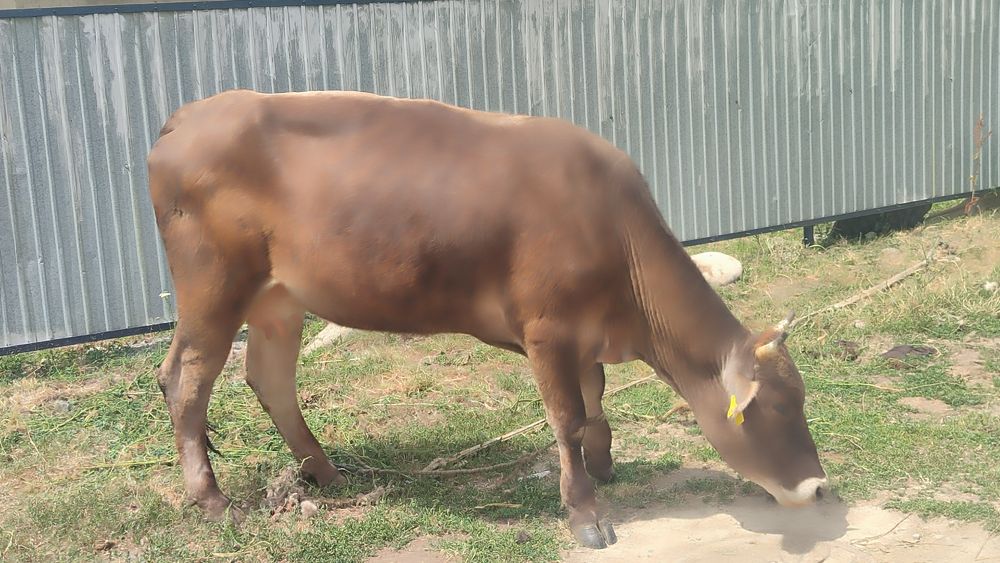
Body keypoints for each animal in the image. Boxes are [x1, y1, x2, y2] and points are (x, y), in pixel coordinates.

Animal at [148, 89, 827, 549]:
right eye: (777, 408)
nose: (819, 488)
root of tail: (192, 114)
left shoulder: (583, 337)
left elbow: (595, 403)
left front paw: (607, 466)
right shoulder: (549, 329)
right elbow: (568, 420)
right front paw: (586, 513)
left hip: (279, 298)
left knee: (271, 379)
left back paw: (326, 472)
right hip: (213, 284)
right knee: (187, 379)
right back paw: (213, 500)